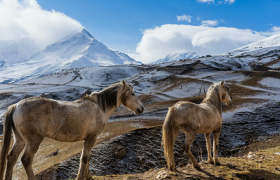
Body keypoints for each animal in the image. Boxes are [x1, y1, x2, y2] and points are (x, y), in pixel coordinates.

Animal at [0, 80, 143, 180]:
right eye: (133, 93)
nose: (141, 108)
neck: (98, 107)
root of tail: (15, 106)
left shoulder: (88, 139)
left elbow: (87, 157)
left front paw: (88, 176)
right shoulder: (92, 138)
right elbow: (84, 158)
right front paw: (80, 177)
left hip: (20, 140)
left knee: (11, 158)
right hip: (33, 141)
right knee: (26, 160)